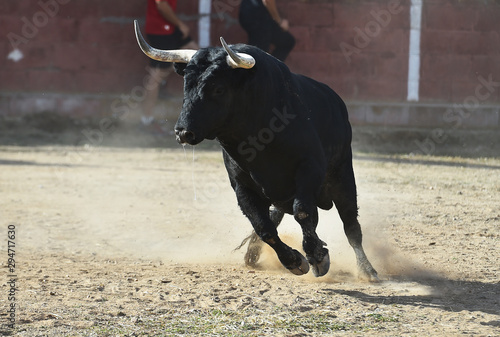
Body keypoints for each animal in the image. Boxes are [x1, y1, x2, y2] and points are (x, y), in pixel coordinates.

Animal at [135, 21, 376, 278]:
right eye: (185, 85)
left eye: (218, 89)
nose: (182, 132)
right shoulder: (241, 185)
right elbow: (263, 226)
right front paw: (294, 261)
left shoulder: (309, 168)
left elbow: (303, 212)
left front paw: (317, 257)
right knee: (279, 216)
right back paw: (253, 253)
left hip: (342, 176)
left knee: (351, 226)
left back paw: (368, 270)